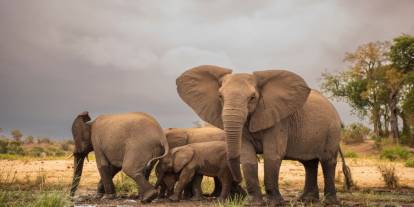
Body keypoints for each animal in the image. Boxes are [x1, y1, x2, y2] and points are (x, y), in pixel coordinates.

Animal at [175, 65, 350, 205]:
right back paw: (306, 200)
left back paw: (329, 202)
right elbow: (247, 157)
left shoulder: (278, 120)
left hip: (332, 130)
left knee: (327, 161)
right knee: (309, 163)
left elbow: (273, 155)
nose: (237, 183)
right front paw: (253, 203)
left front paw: (275, 203)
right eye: (220, 97)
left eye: (252, 98)